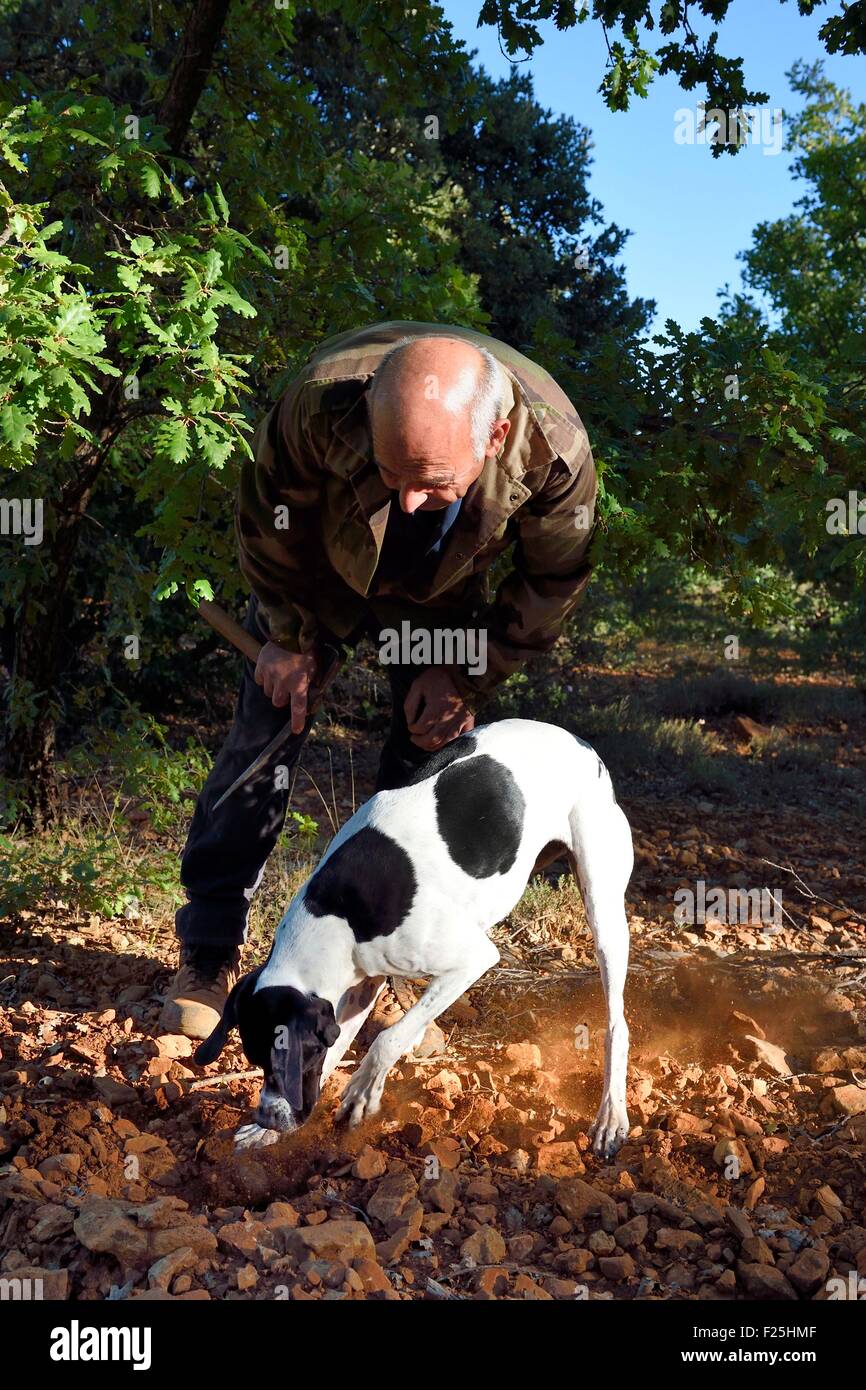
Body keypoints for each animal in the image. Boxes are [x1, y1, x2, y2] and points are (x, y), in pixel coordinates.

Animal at [193, 722, 633, 1156]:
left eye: (291, 1055)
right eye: (256, 1058)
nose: (269, 1117)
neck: (337, 914)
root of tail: (582, 743)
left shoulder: (472, 961)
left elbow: (387, 1038)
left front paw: (362, 1091)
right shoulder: (358, 986)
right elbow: (344, 1045)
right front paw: (267, 1133)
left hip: (603, 913)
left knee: (617, 1023)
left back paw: (611, 1115)